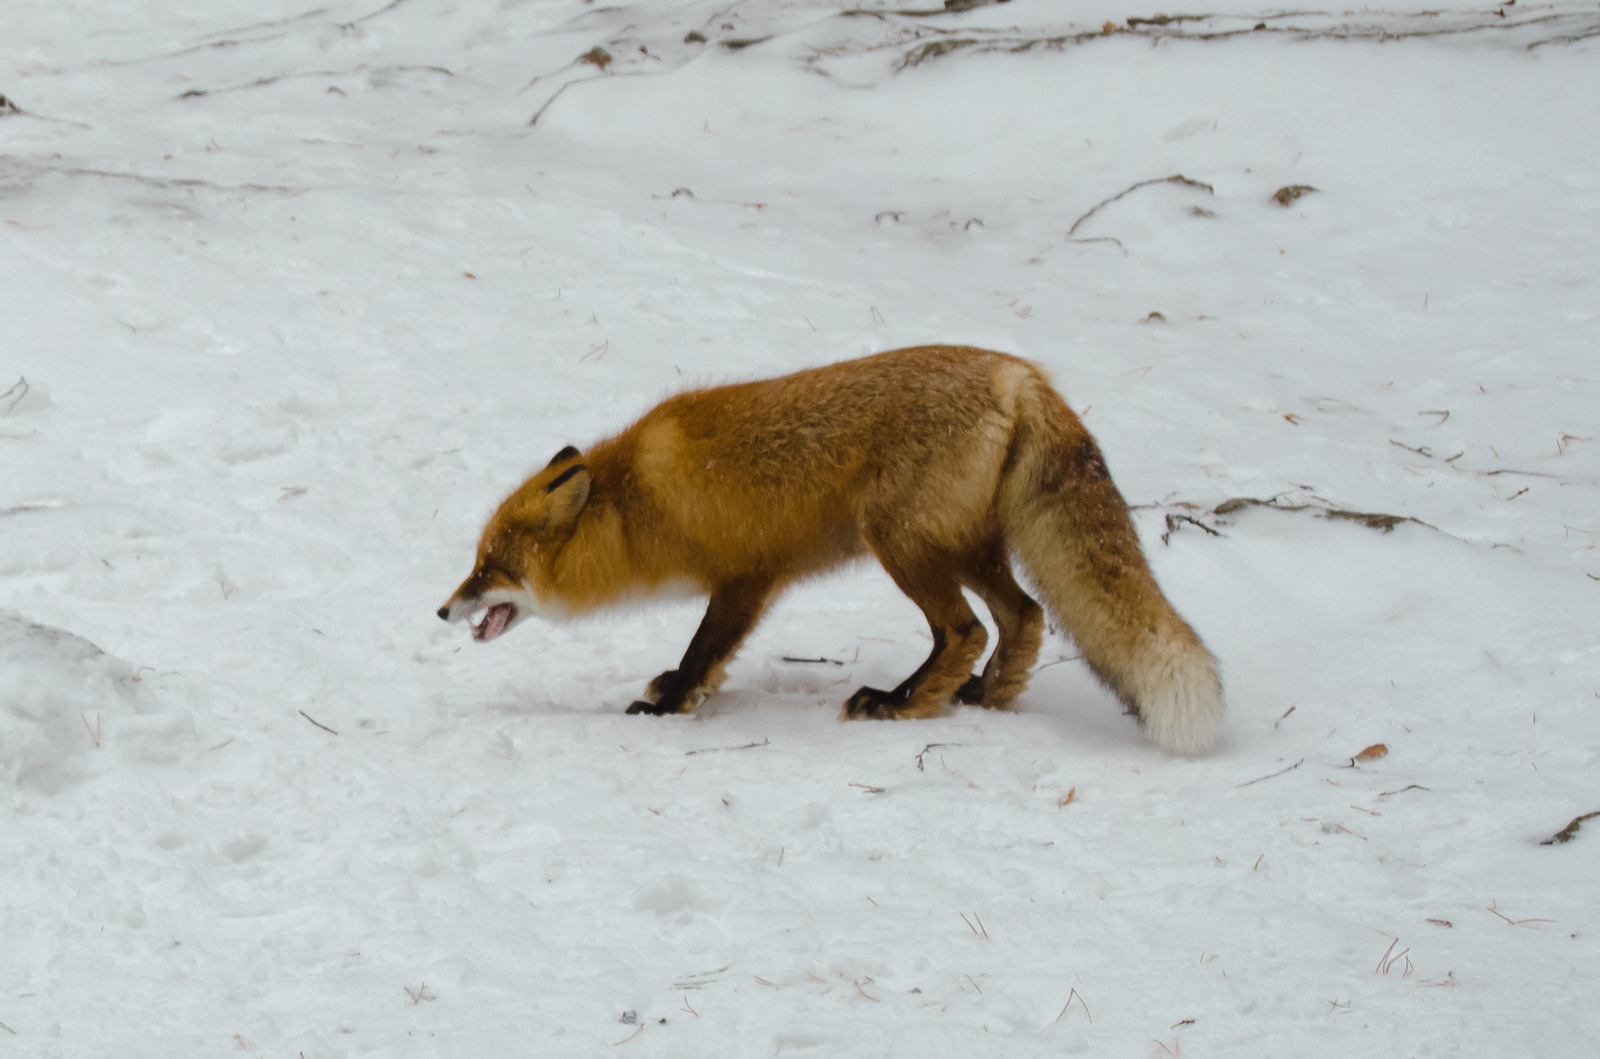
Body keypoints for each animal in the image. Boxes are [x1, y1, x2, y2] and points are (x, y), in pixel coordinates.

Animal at [438, 347, 1222, 755]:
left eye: (489, 568)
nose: (443, 610)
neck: (635, 504)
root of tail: (1018, 371)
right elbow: (707, 655)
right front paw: (680, 692)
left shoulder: (747, 575)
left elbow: (704, 647)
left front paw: (672, 706)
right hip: (966, 547)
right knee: (1023, 616)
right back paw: (983, 697)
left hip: (901, 544)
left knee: (965, 630)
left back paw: (900, 703)